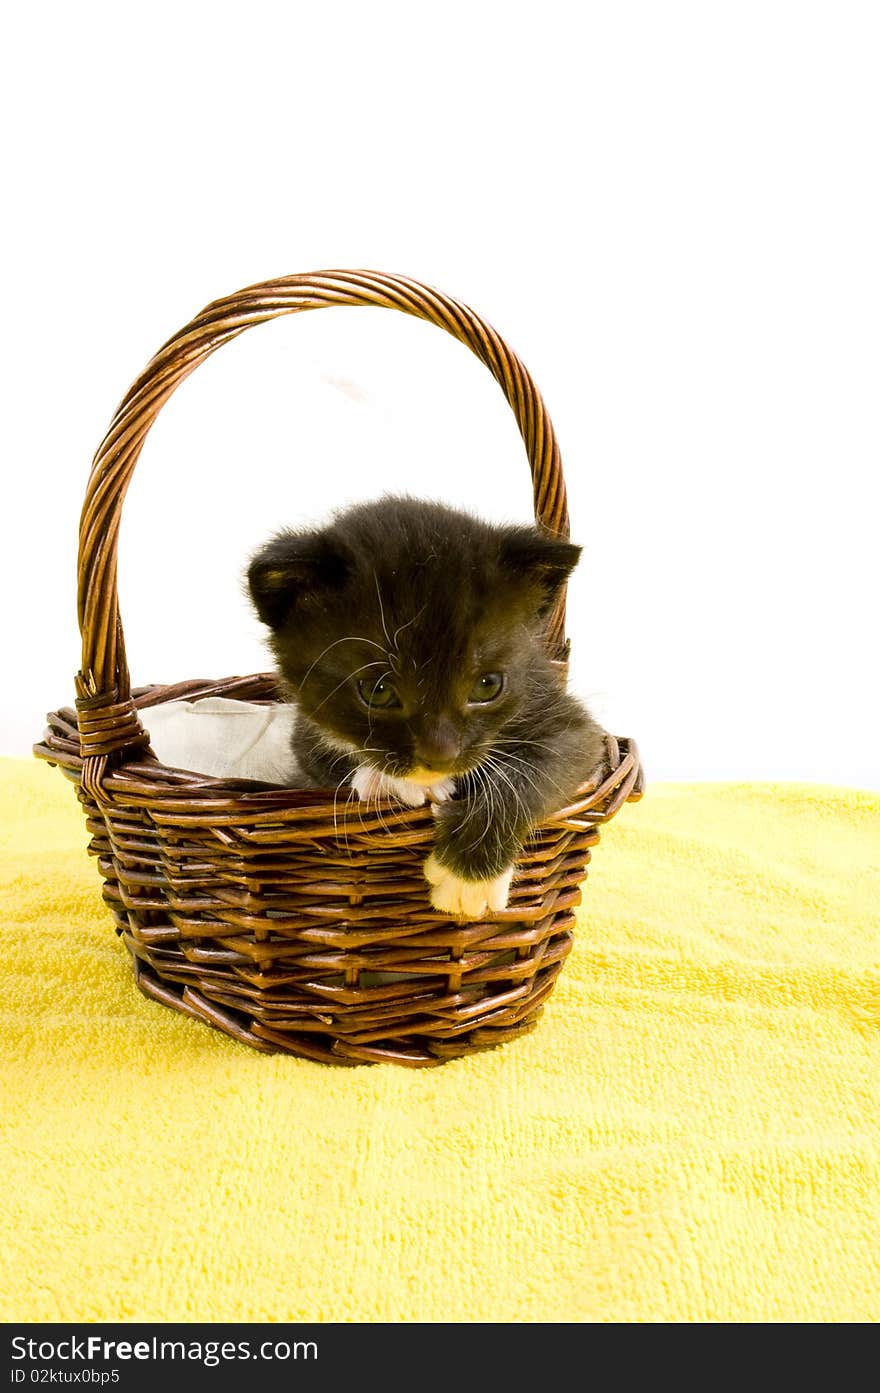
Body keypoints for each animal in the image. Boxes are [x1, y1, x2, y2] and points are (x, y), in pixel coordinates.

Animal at [243, 495, 607, 919]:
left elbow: (543, 766)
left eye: (487, 685)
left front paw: (468, 876)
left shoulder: (559, 712)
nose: (440, 756)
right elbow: (317, 758)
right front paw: (390, 779)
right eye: (378, 691)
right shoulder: (304, 726)